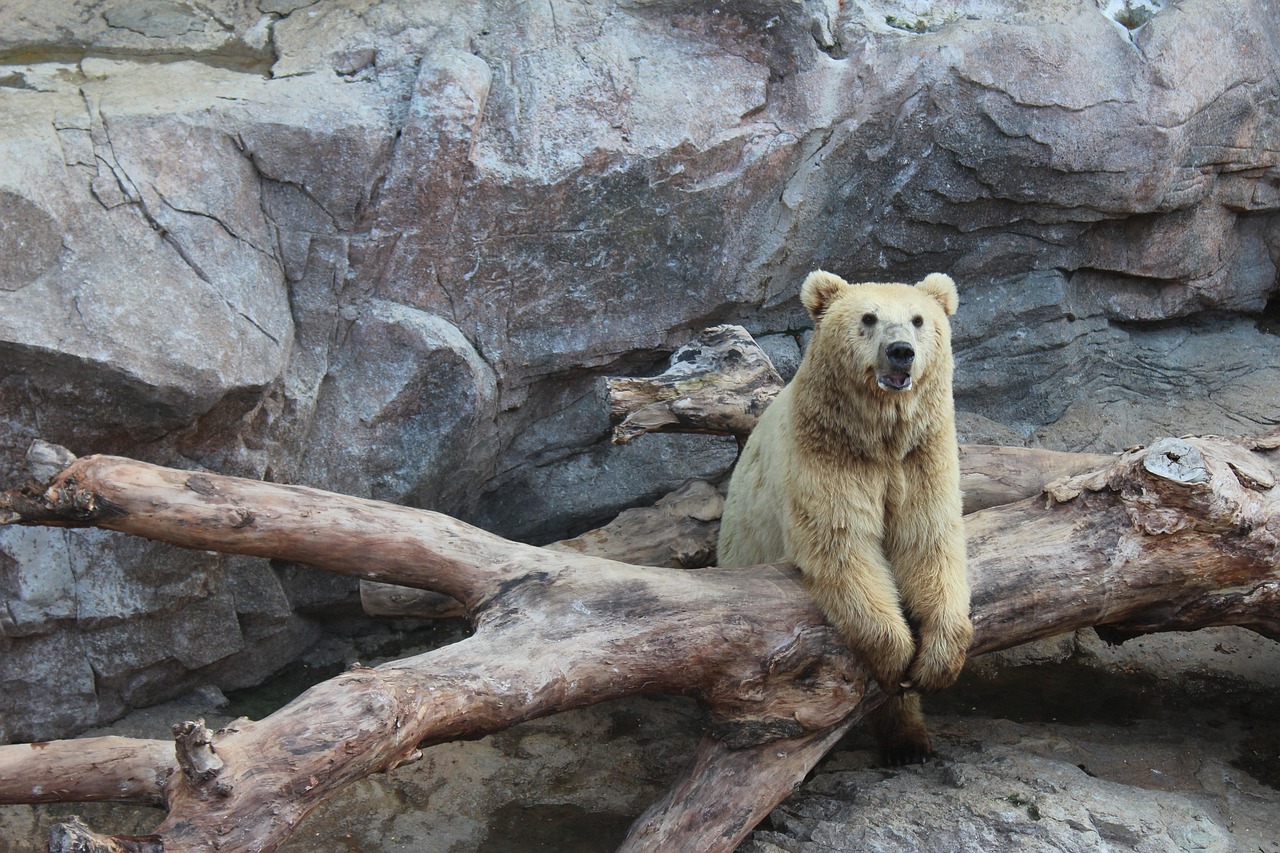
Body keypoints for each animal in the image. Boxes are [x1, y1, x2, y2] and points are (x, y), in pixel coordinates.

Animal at [721, 268, 967, 758]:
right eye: (868, 318)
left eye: (918, 320)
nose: (900, 352)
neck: (879, 437)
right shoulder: (828, 452)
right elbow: (843, 545)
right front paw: (896, 658)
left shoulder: (922, 455)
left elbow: (929, 540)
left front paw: (937, 661)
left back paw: (909, 740)